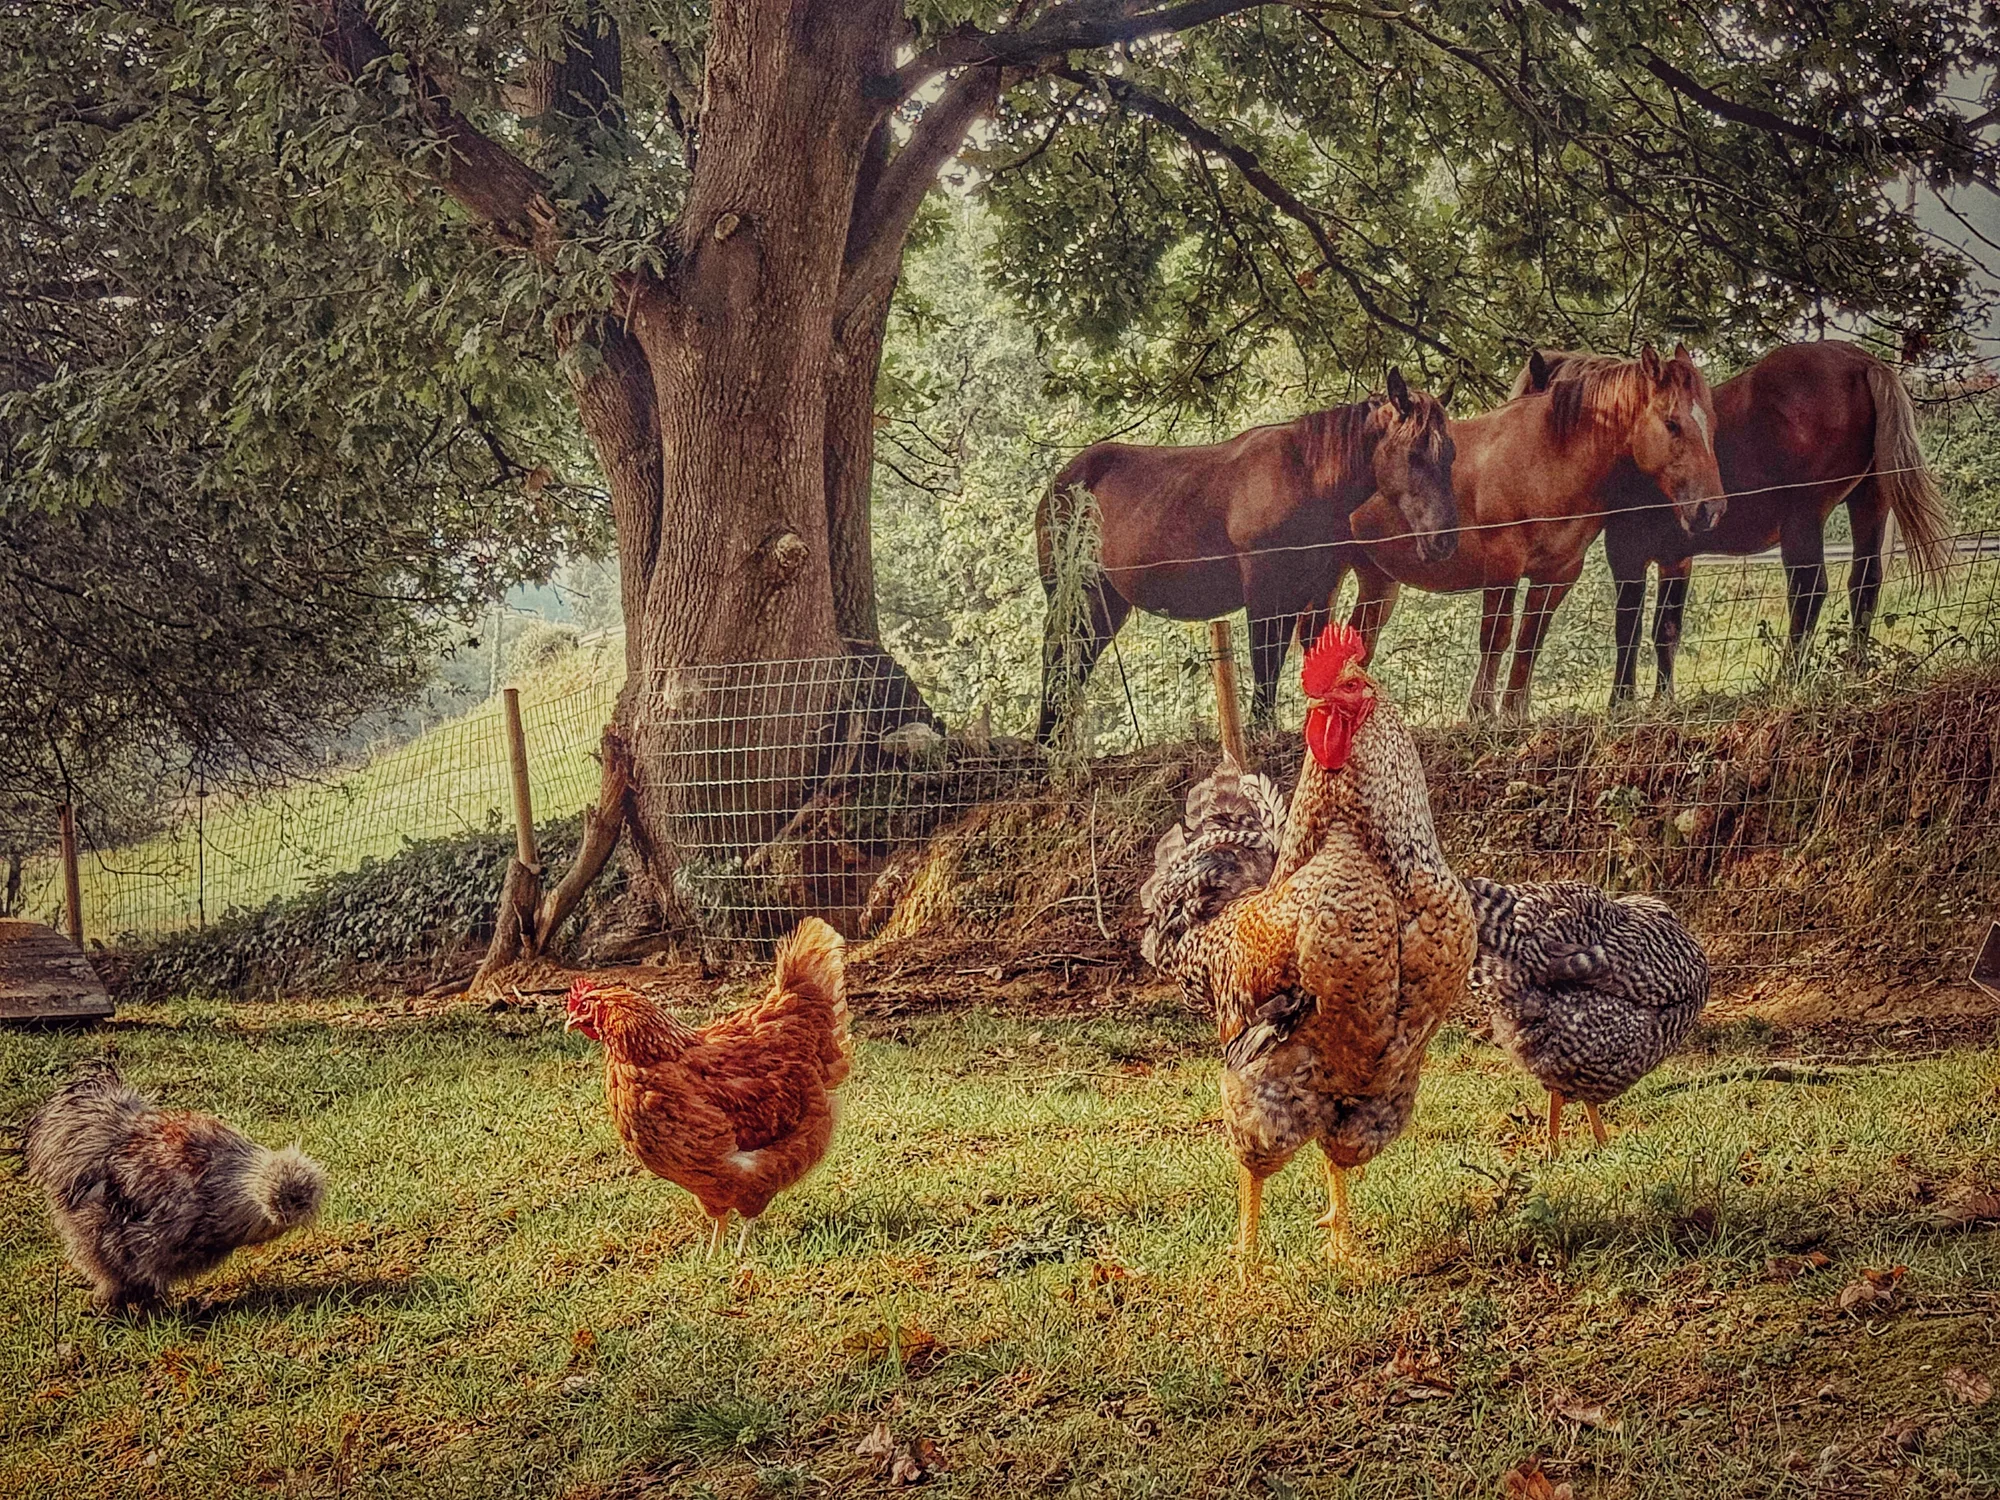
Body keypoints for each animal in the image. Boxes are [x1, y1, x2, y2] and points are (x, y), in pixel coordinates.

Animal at [1032, 371, 1457, 741]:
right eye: (1414, 454)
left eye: (1449, 455)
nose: (1443, 541)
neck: (1307, 477)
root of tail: (1060, 483)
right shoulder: (1265, 590)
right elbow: (1265, 656)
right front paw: (1261, 728)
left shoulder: (1316, 591)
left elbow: (1309, 656)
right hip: (1072, 594)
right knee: (1057, 656)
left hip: (1104, 603)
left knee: (1074, 662)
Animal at [1338, 346, 1725, 721]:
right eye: (1672, 423)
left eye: (1712, 421)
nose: (1711, 509)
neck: (1548, 456)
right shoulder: (1503, 564)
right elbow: (1496, 635)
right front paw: (1481, 712)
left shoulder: (1558, 574)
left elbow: (1530, 638)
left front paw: (1514, 711)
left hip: (1378, 582)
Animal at [1513, 341, 1950, 703]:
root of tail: (1860, 361)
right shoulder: (1677, 560)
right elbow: (1665, 631)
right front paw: (1662, 701)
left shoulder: (1627, 557)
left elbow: (1628, 629)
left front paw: (1621, 703)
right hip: (1870, 503)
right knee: (1865, 582)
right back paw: (1854, 671)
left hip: (1804, 520)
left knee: (1809, 590)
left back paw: (1788, 679)